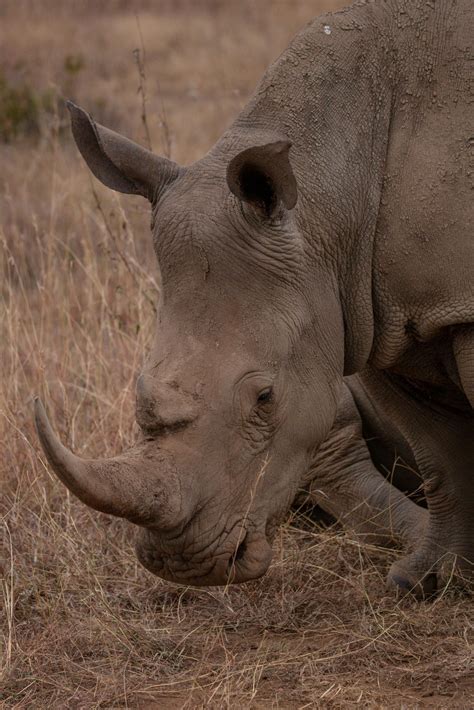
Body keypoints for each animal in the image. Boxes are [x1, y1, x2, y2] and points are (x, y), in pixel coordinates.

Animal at [35, 0, 473, 597]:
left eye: (265, 398)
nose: (181, 564)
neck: (329, 194)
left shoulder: (435, 305)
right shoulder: (375, 313)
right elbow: (440, 456)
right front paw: (425, 583)